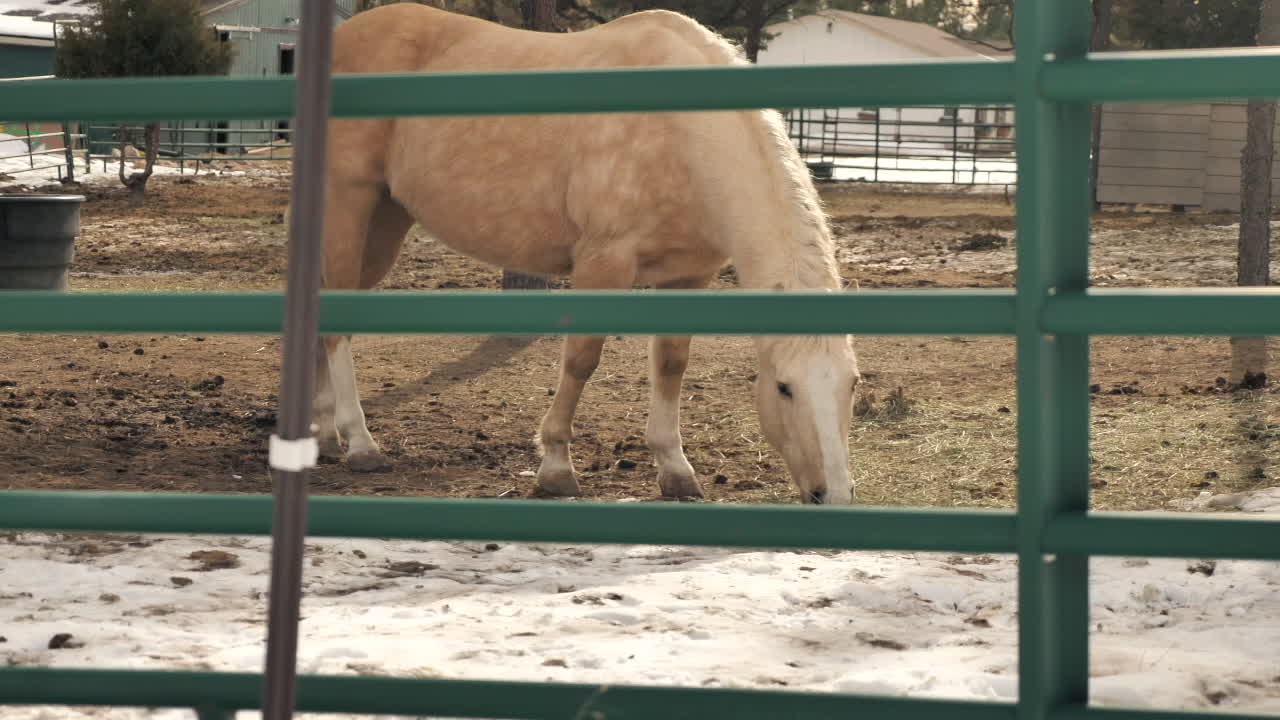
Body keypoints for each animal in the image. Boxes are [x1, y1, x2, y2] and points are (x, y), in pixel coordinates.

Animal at [310, 3, 861, 504]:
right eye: (784, 387)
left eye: (852, 385)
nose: (833, 494)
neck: (680, 131)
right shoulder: (604, 261)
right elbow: (581, 359)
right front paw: (556, 466)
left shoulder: (689, 275)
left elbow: (671, 363)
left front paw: (675, 469)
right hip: (349, 203)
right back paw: (359, 443)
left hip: (386, 220)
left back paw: (322, 432)